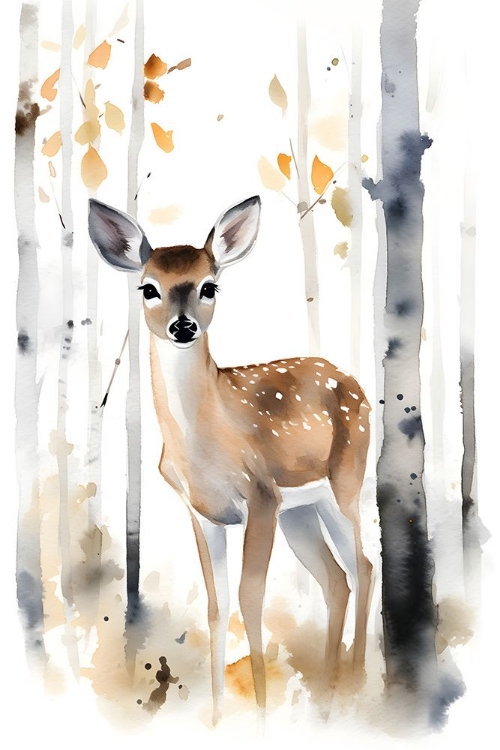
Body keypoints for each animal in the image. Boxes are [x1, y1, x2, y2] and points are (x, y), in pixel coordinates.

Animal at [88, 196, 372, 722]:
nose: (183, 326)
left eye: (209, 285)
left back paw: (357, 685)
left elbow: (249, 596)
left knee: (362, 565)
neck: (204, 445)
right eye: (149, 288)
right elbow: (217, 605)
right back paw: (327, 696)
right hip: (300, 510)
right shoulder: (203, 512)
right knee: (336, 578)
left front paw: (258, 712)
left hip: (344, 482)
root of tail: (351, 379)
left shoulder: (260, 496)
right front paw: (220, 716)